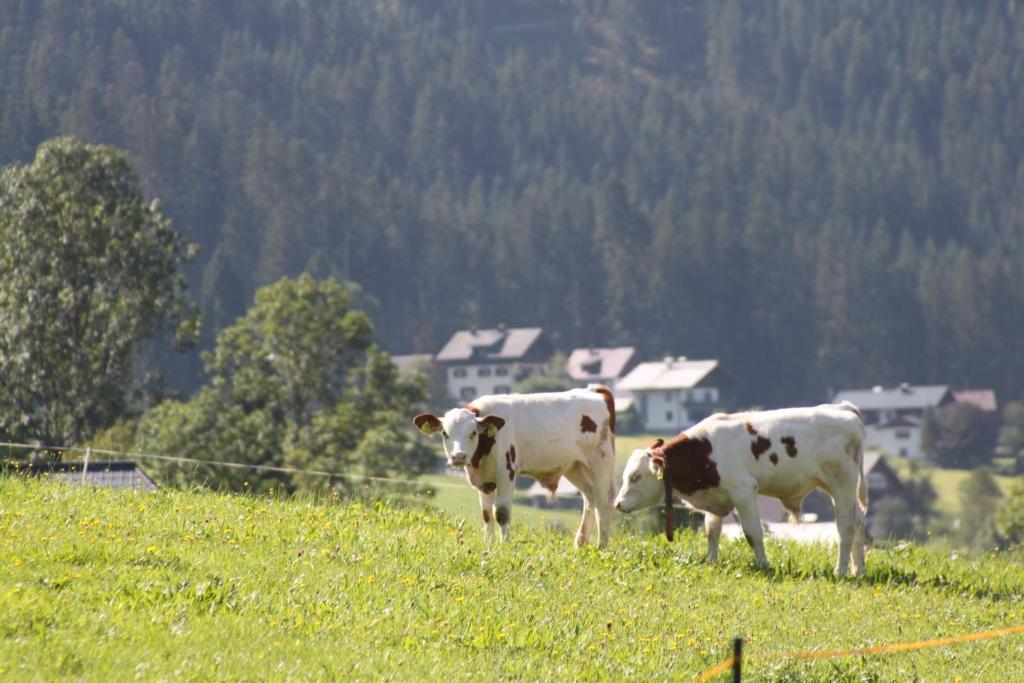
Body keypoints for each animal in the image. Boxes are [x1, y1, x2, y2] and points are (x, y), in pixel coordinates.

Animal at [409, 387, 614, 548]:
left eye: (473, 433)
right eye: (445, 433)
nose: (458, 456)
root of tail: (593, 391)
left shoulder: (506, 473)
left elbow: (501, 512)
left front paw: (504, 544)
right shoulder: (484, 480)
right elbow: (486, 514)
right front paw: (489, 543)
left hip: (601, 462)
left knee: (603, 502)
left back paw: (601, 546)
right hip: (574, 467)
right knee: (589, 496)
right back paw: (581, 542)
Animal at [610, 401, 868, 577]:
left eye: (636, 477)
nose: (617, 504)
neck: (705, 452)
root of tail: (843, 409)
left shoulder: (744, 492)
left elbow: (753, 533)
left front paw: (764, 565)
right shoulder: (715, 498)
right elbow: (712, 532)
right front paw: (711, 561)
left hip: (842, 483)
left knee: (845, 524)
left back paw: (841, 570)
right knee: (858, 520)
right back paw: (858, 569)